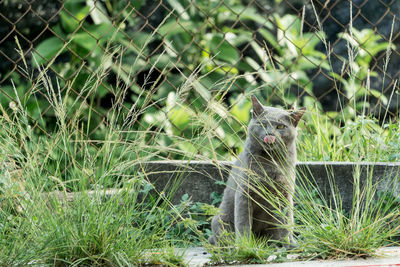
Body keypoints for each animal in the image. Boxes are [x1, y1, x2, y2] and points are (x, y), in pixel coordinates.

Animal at [208, 96, 304, 247]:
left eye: (280, 126)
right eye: (263, 124)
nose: (269, 134)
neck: (269, 163)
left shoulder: (285, 193)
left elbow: (287, 220)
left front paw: (289, 243)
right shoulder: (244, 193)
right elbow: (243, 222)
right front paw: (245, 244)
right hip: (221, 219)